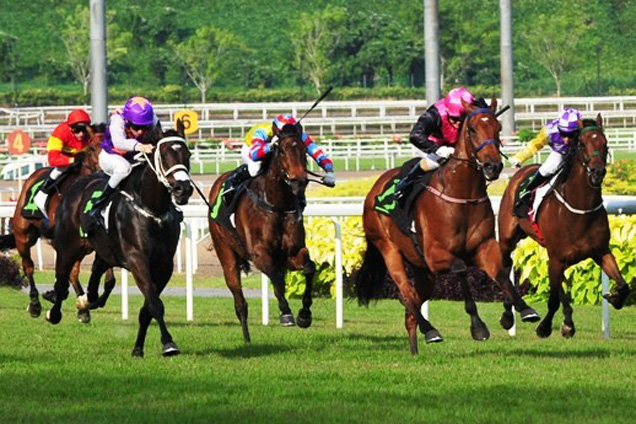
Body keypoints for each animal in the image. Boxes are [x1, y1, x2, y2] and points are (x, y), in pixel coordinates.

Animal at [0, 127, 116, 322]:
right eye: (92, 148)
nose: (106, 171)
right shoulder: (59, 241)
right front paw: (55, 296)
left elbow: (109, 281)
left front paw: (87, 302)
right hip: (23, 236)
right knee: (29, 266)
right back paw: (35, 304)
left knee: (73, 273)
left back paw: (82, 308)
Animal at [46, 121, 193, 356]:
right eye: (164, 154)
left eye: (187, 154)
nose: (183, 189)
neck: (152, 209)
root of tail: (76, 185)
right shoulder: (137, 259)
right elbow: (155, 304)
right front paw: (168, 343)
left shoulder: (164, 266)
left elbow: (147, 309)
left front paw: (138, 348)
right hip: (68, 247)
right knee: (61, 281)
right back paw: (54, 312)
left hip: (104, 250)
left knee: (96, 274)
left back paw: (86, 302)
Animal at [209, 121, 316, 342]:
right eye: (282, 151)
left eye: (303, 150)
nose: (298, 181)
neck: (276, 204)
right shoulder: (260, 254)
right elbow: (277, 279)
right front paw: (286, 314)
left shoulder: (291, 254)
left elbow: (309, 268)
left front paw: (304, 315)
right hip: (225, 254)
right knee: (240, 301)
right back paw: (247, 339)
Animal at [356, 99, 540, 354]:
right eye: (472, 129)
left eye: (498, 127)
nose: (493, 166)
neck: (462, 195)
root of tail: (374, 188)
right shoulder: (436, 255)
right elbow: (461, 268)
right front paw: (478, 327)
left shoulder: (483, 247)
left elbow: (501, 272)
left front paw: (524, 310)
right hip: (389, 249)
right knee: (406, 294)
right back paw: (430, 330)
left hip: (423, 270)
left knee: (411, 309)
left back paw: (416, 349)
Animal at [500, 113, 628, 338]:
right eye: (582, 143)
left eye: (605, 143)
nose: (597, 172)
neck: (580, 209)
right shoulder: (557, 257)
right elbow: (552, 301)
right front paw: (544, 327)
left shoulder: (600, 251)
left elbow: (623, 285)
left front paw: (614, 297)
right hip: (509, 237)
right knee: (505, 269)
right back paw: (509, 316)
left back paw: (568, 321)